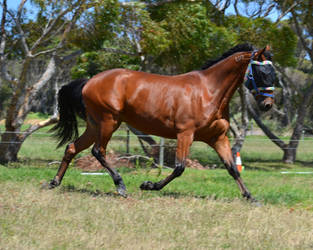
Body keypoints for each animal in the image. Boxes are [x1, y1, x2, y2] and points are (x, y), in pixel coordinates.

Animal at [48, 44, 276, 202]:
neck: (209, 92)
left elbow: (232, 168)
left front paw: (250, 197)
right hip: (108, 122)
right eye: (262, 72)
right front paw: (148, 185)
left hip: (95, 125)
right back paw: (120, 186)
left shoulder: (217, 137)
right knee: (98, 151)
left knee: (72, 148)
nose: (267, 104)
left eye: (273, 73)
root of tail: (89, 81)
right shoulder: (185, 134)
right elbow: (179, 168)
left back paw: (54, 182)